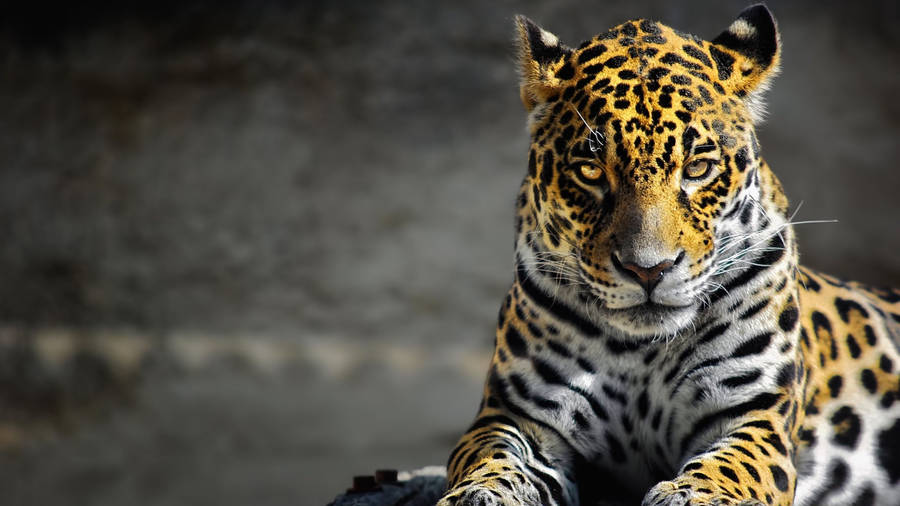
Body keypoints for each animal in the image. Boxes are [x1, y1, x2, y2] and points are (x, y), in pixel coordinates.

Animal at [437, 5, 900, 506]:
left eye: (697, 168)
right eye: (590, 171)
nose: (648, 269)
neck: (642, 352)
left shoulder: (755, 414)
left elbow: (729, 466)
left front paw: (693, 495)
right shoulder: (517, 413)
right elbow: (492, 456)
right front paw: (478, 493)